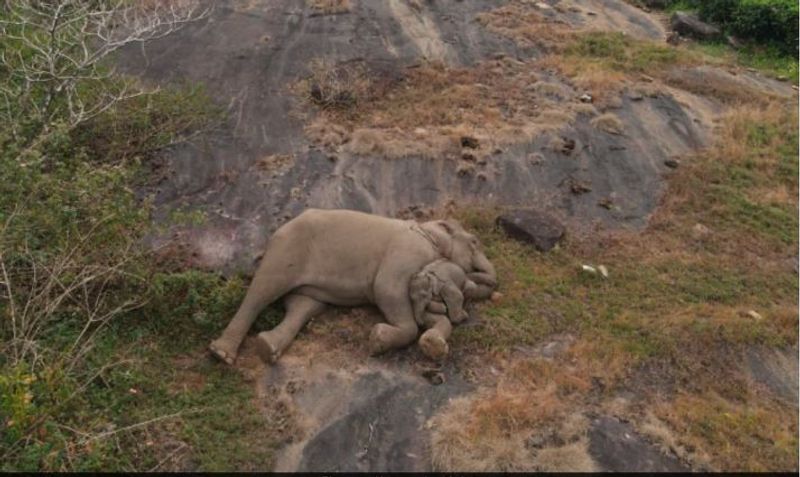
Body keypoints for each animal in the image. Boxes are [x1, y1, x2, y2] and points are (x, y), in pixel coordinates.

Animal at [208, 208, 494, 364]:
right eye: (475, 242)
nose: (463, 315)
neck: (427, 229)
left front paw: (432, 341)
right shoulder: (407, 251)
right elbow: (387, 289)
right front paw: (378, 339)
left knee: (304, 306)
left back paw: (267, 348)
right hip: (287, 250)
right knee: (262, 291)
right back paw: (222, 354)